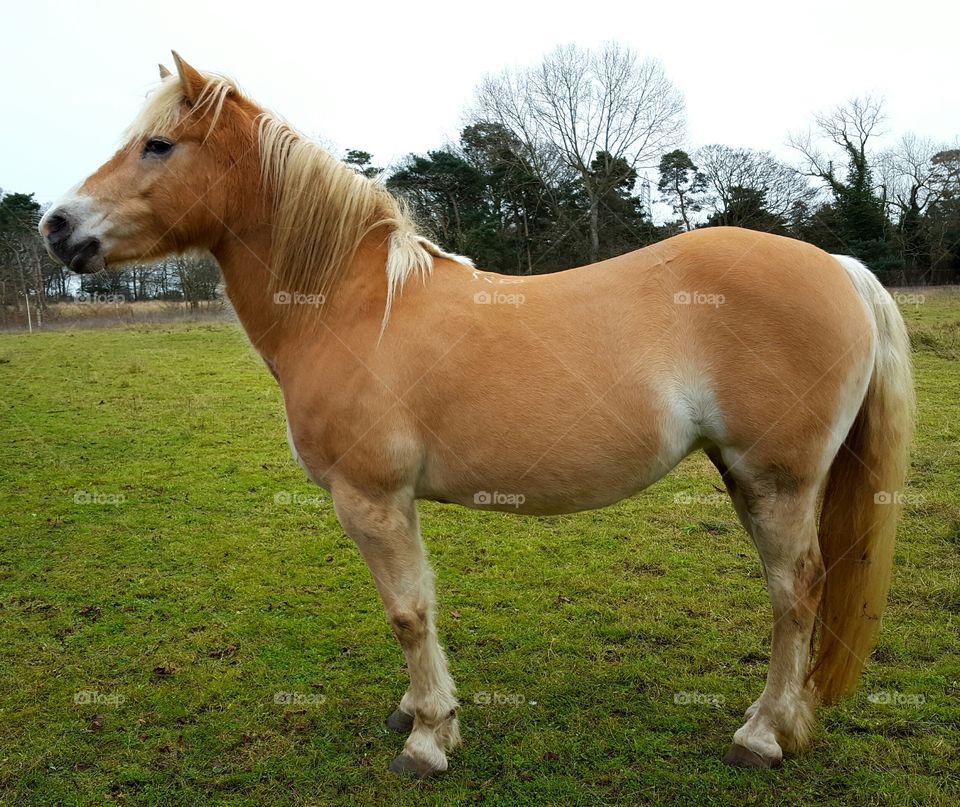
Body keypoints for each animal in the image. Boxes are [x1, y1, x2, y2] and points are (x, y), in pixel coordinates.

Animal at [39, 52, 916, 776]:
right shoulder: (396, 504)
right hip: (749, 478)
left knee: (796, 594)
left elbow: (406, 611)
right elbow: (421, 605)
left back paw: (762, 735)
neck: (349, 303)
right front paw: (422, 712)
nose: (56, 226)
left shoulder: (370, 499)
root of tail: (838, 266)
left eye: (158, 146)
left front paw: (428, 740)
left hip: (777, 481)